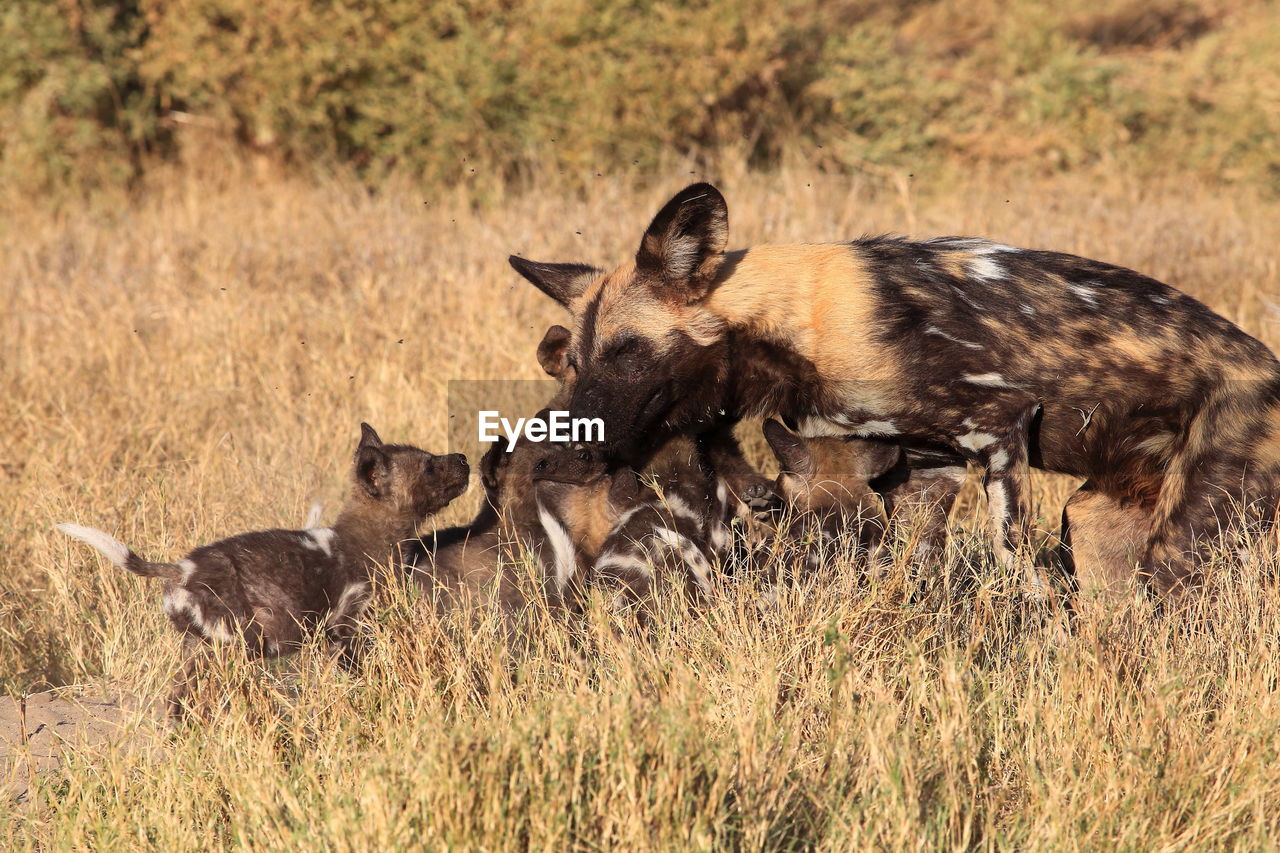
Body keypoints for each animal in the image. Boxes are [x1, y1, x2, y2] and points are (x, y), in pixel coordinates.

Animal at [61, 422, 471, 712]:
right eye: (430, 466)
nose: (464, 458)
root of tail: (181, 569)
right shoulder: (346, 628)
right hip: (234, 647)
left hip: (199, 650)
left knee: (179, 703)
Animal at [509, 180, 1280, 591]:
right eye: (574, 363)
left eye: (629, 353)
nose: (555, 455)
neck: (794, 322)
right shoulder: (926, 466)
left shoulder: (998, 429)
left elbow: (1010, 559)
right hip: (1098, 524)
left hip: (1184, 542)